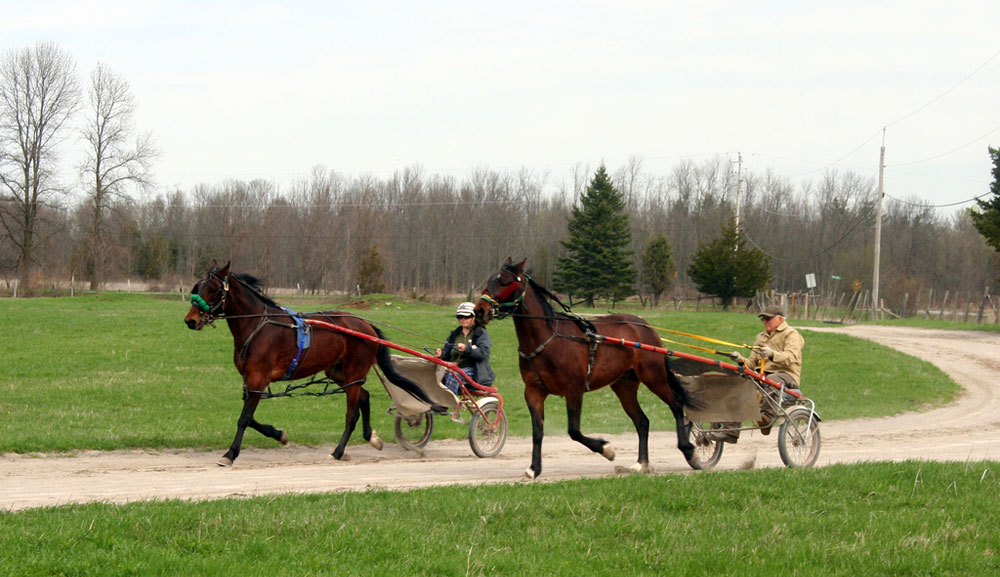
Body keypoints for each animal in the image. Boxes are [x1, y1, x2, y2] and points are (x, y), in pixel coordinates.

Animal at [184, 260, 430, 464]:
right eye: (197, 287)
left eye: (213, 289)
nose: (190, 320)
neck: (258, 326)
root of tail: (366, 326)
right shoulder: (249, 379)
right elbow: (251, 417)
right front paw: (280, 435)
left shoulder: (258, 377)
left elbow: (245, 418)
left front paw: (230, 453)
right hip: (338, 372)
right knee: (364, 396)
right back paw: (372, 438)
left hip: (354, 370)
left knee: (352, 414)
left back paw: (338, 452)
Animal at [474, 258, 696, 480]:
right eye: (491, 279)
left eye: (505, 281)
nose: (479, 310)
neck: (547, 340)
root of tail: (644, 325)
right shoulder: (533, 391)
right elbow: (537, 432)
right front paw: (534, 468)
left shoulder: (574, 390)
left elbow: (574, 431)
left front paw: (606, 449)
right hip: (624, 385)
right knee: (642, 421)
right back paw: (641, 463)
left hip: (653, 376)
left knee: (676, 404)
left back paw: (688, 450)